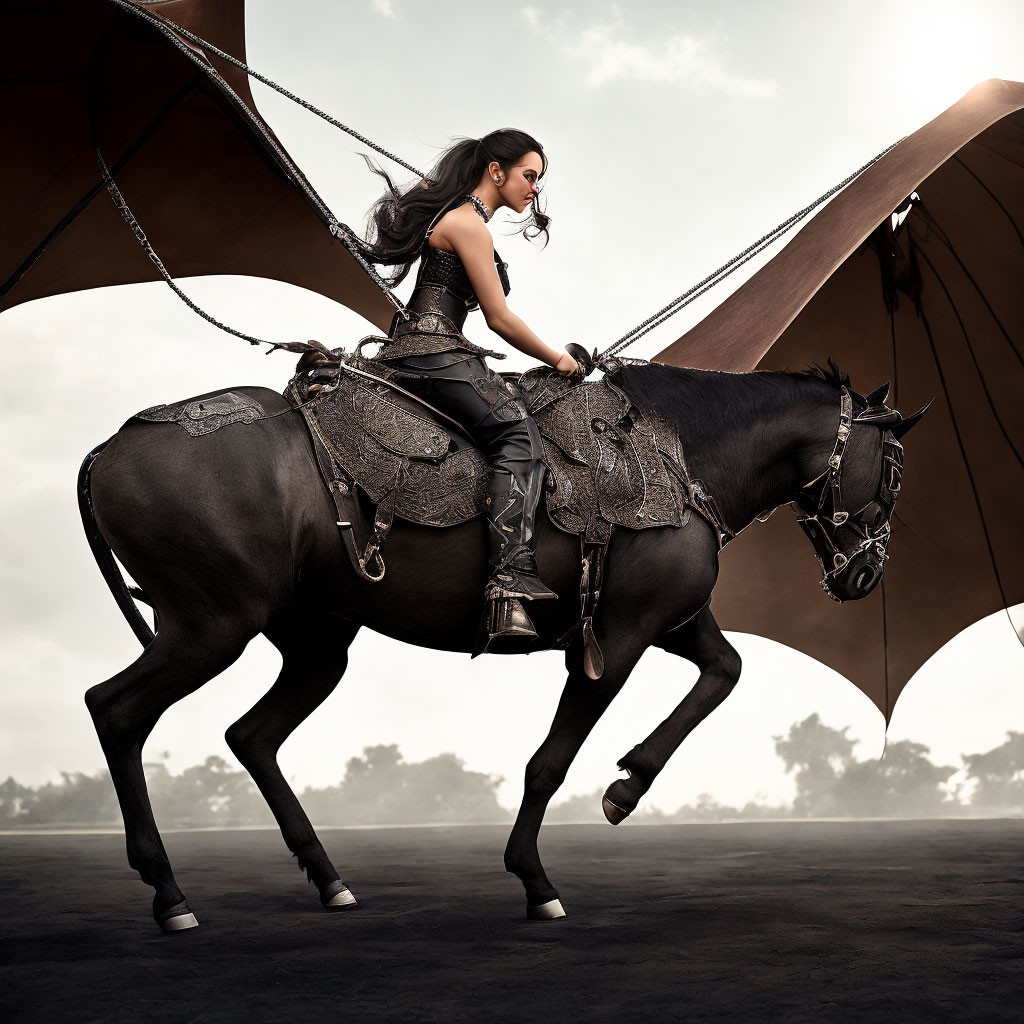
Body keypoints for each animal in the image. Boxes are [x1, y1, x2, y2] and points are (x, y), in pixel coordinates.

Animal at [79, 360, 929, 929]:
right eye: (891, 471)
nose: (867, 571)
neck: (681, 452)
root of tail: (108, 448)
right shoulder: (616, 639)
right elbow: (550, 761)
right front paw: (536, 878)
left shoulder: (674, 623)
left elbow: (726, 670)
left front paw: (628, 783)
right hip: (209, 625)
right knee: (115, 709)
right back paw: (169, 894)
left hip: (315, 643)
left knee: (250, 735)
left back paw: (326, 878)